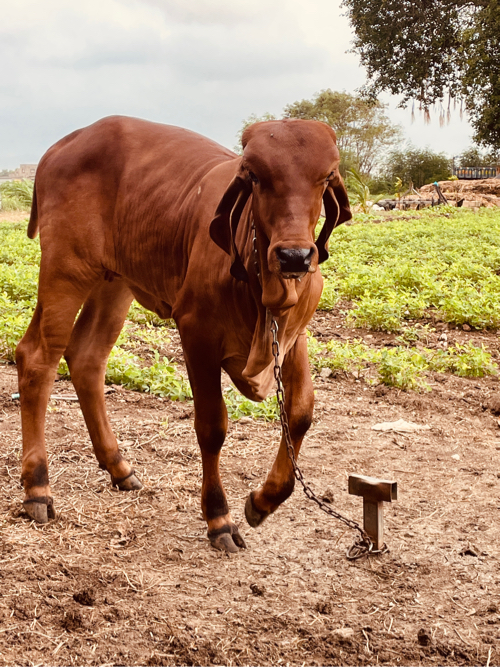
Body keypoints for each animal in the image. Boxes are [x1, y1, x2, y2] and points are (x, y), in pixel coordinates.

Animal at [16, 116, 352, 552]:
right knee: (37, 358)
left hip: (114, 282)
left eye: (326, 176)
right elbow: (212, 427)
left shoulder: (293, 337)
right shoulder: (196, 333)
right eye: (255, 175)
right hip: (65, 269)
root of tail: (61, 146)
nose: (294, 256)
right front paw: (218, 517)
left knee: (87, 358)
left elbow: (300, 414)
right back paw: (38, 488)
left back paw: (118, 466)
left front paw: (263, 501)